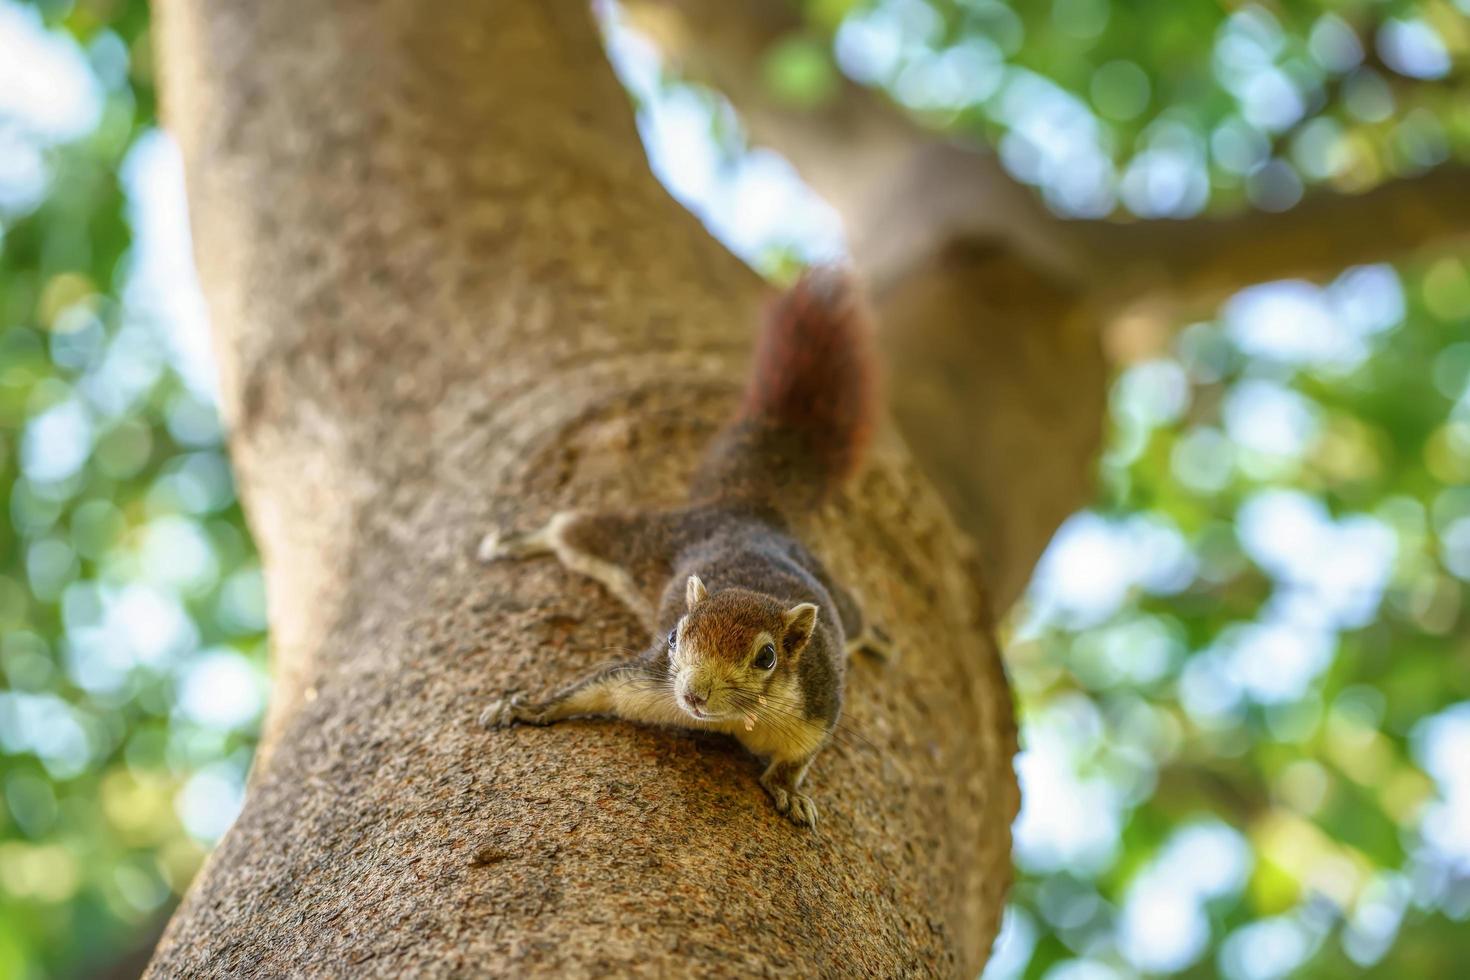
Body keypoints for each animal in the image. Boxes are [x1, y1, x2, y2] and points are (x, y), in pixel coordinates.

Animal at [479, 268, 893, 828]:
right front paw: (528, 707)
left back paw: (875, 637)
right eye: (675, 636)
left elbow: (801, 756)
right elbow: (594, 685)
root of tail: (747, 510)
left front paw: (790, 791)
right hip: (643, 541)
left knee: (852, 613)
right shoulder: (650, 679)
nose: (693, 694)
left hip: (827, 596)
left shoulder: (818, 706)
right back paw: (515, 541)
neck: (730, 720)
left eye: (767, 658)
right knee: (571, 529)